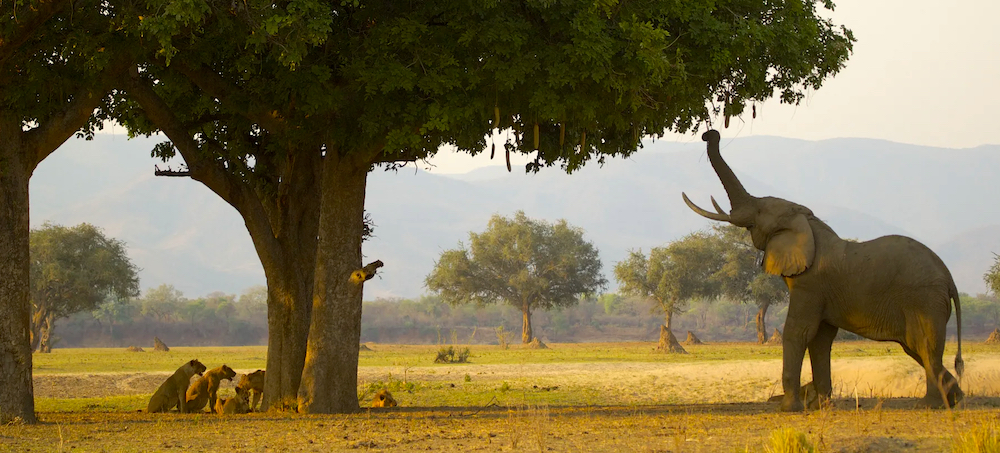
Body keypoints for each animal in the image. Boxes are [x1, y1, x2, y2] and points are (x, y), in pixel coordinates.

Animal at [680, 129, 960, 412]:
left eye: (759, 210)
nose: (710, 134)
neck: (808, 224)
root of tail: (949, 279)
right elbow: (820, 339)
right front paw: (821, 406)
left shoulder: (811, 284)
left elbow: (798, 331)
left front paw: (789, 408)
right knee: (916, 348)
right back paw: (954, 398)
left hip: (923, 299)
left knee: (923, 345)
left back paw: (931, 404)